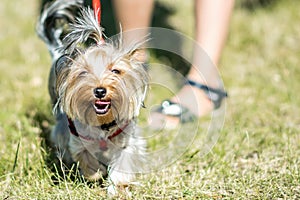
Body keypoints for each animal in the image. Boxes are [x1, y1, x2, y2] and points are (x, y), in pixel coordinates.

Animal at [37, 0, 149, 191]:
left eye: (115, 71)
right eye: (83, 73)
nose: (100, 91)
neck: (103, 122)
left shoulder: (127, 140)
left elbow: (123, 161)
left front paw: (118, 187)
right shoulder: (77, 139)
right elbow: (85, 157)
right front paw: (96, 173)